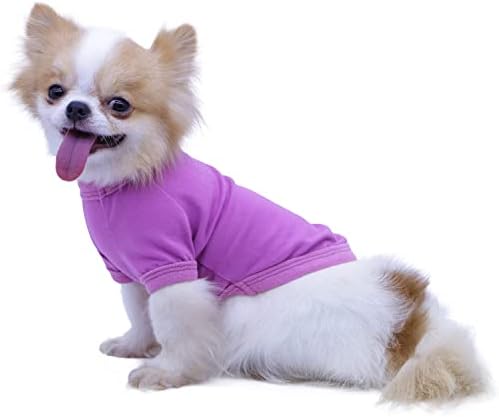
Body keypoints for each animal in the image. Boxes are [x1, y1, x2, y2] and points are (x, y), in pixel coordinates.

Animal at [11, 3, 487, 402]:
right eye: (55, 91)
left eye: (119, 105)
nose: (76, 108)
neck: (129, 175)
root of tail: (408, 321)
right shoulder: (130, 270)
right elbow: (139, 313)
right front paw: (134, 346)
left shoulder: (173, 268)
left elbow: (173, 326)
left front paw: (166, 371)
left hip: (245, 309)